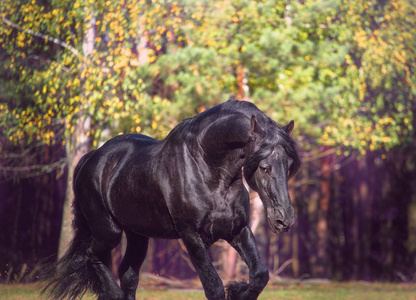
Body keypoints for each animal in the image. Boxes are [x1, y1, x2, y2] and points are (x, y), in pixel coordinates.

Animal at [43, 100, 300, 300]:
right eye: (264, 167)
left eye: (289, 166)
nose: (285, 220)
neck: (208, 168)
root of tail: (91, 158)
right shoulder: (192, 237)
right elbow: (214, 288)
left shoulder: (238, 230)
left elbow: (259, 276)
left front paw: (237, 290)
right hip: (108, 232)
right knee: (93, 257)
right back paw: (111, 292)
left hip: (137, 235)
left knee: (128, 277)